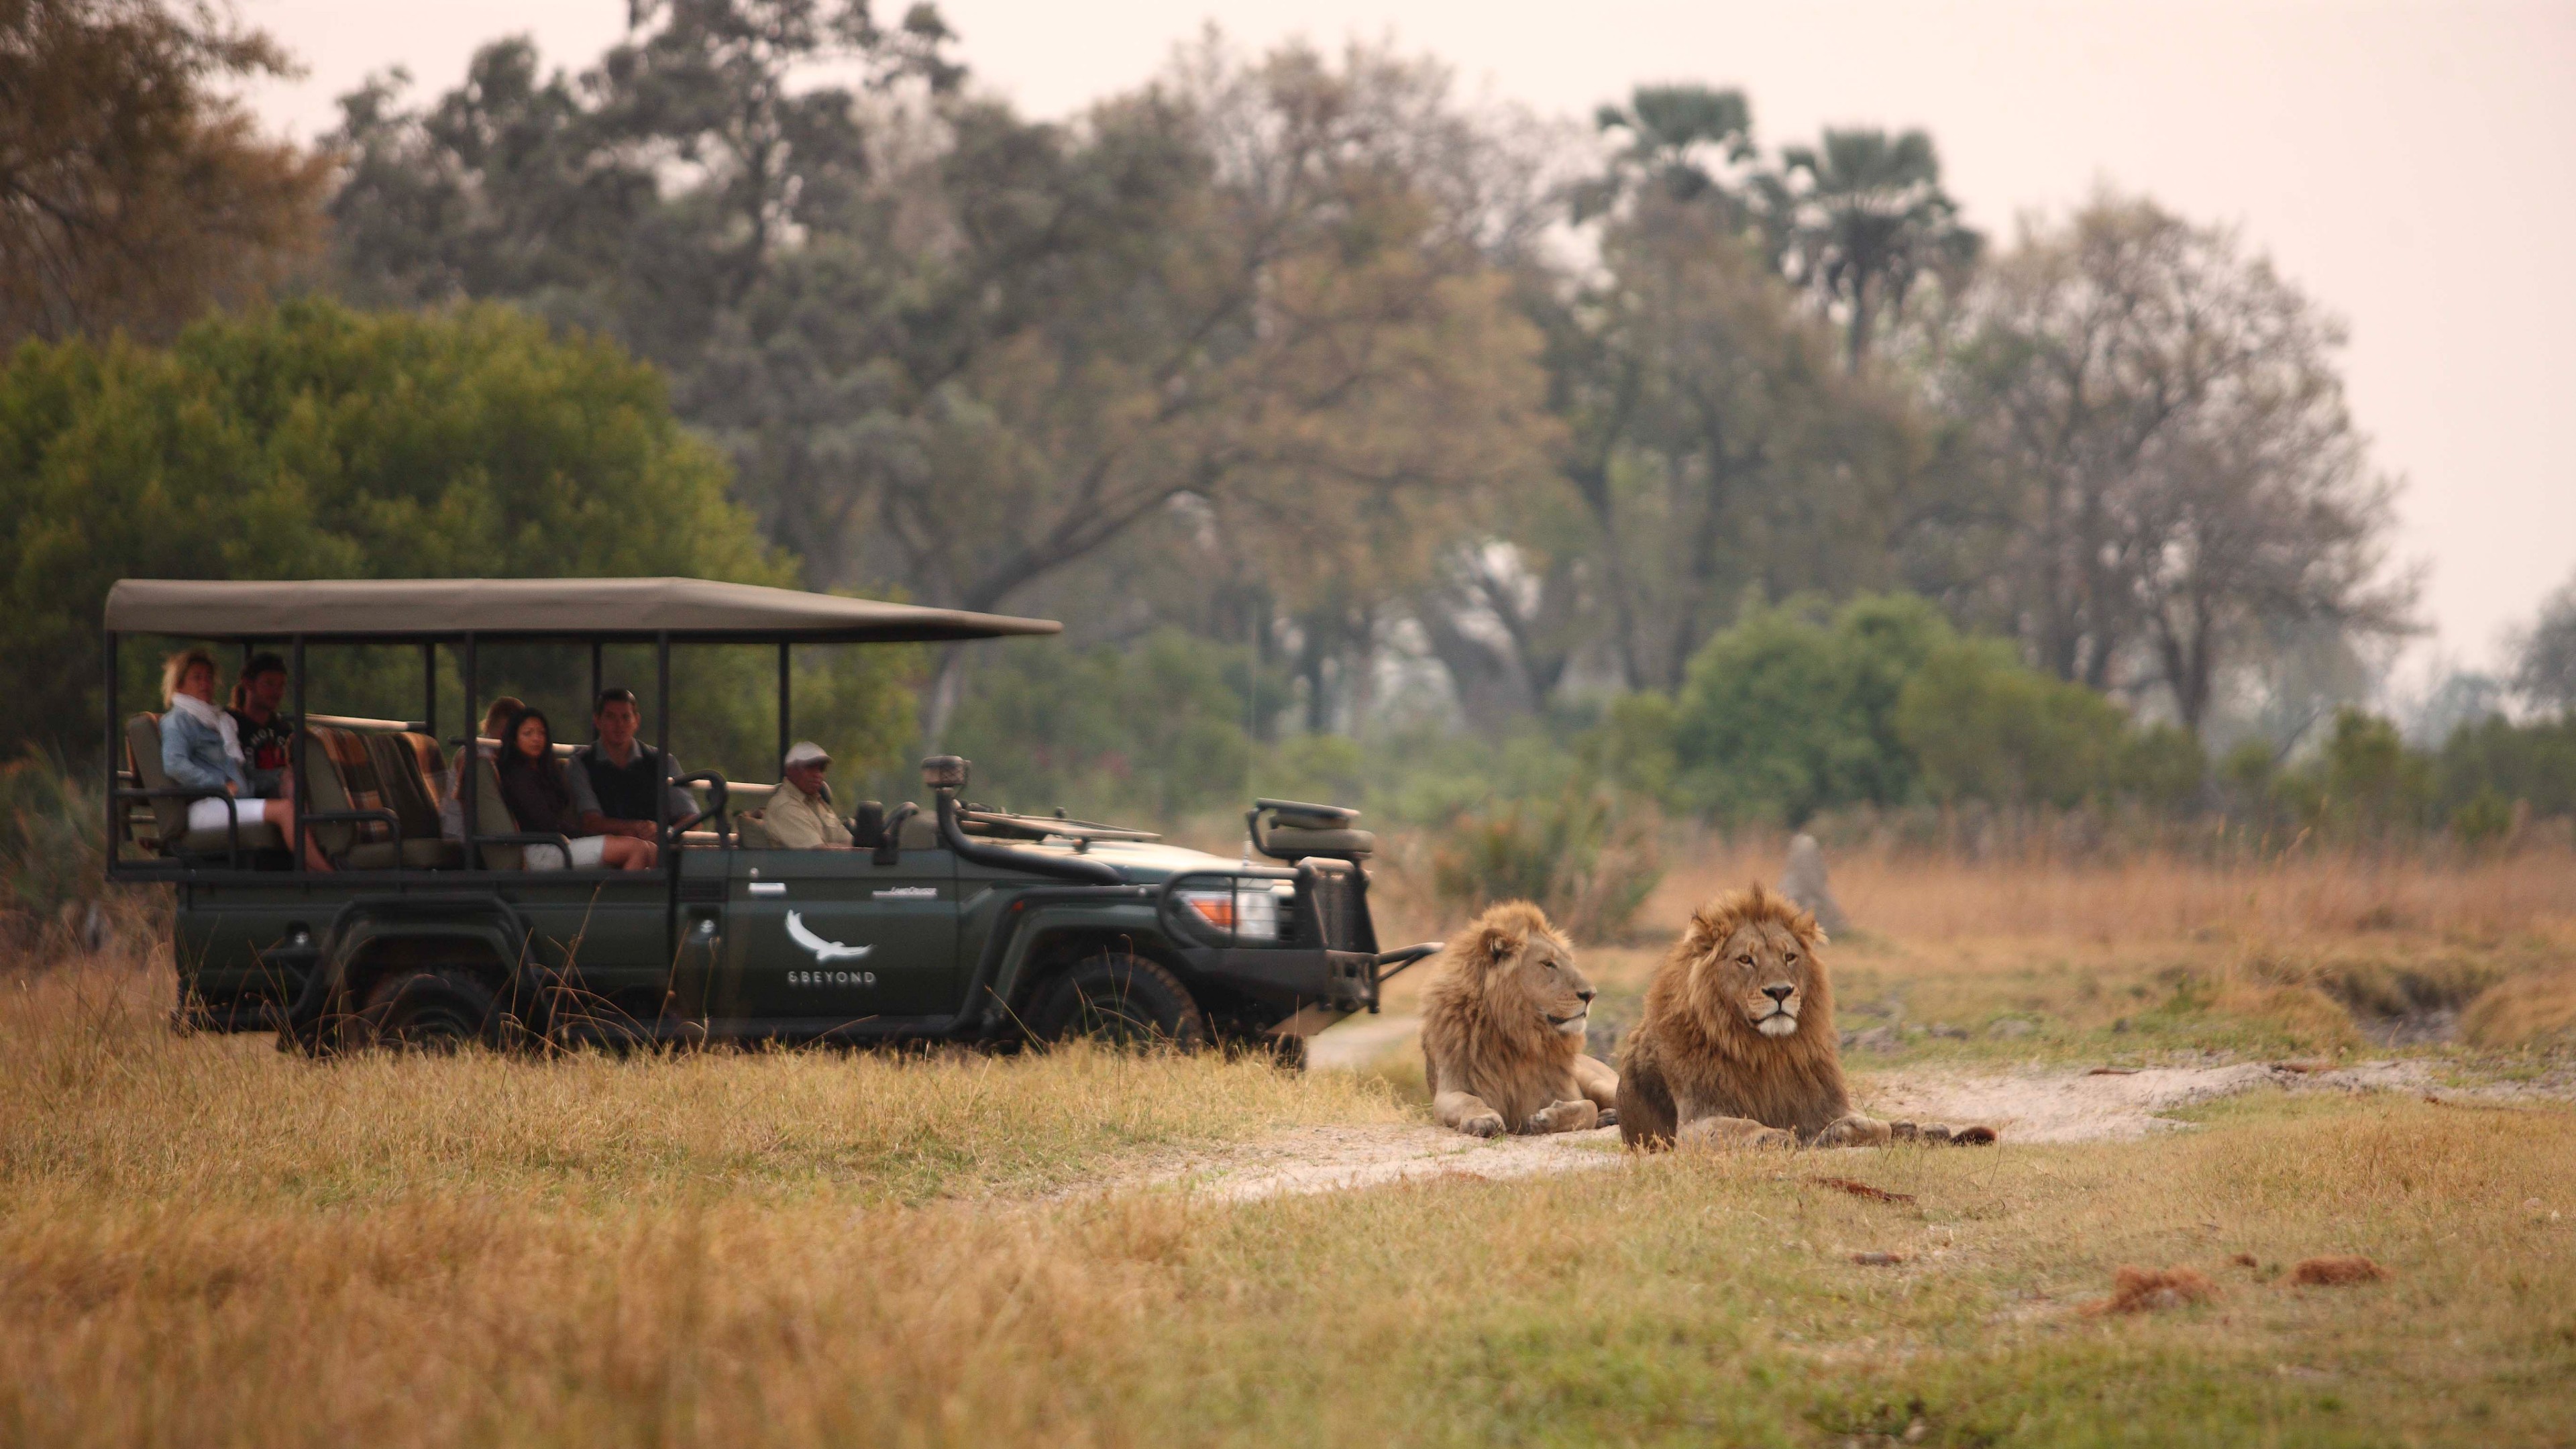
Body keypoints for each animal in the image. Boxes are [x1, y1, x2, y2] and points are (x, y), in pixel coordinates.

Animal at [1418, 901, 1621, 1137]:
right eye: (1548, 963)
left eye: (1571, 961)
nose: (1591, 995)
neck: (1518, 1032)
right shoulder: (1450, 1088)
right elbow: (1468, 1100)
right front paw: (1483, 1119)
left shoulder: (1561, 1091)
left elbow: (1588, 1107)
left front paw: (1548, 1118)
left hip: (1598, 1082)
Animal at [1616, 884, 1990, 1151]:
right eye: (1745, 960)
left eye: (1790, 957)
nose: (1781, 991)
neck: (1768, 1050)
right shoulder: (1695, 1120)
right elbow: (1737, 1126)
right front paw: (1772, 1136)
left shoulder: (1824, 1105)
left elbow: (1873, 1124)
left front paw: (1845, 1132)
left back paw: (1926, 1129)